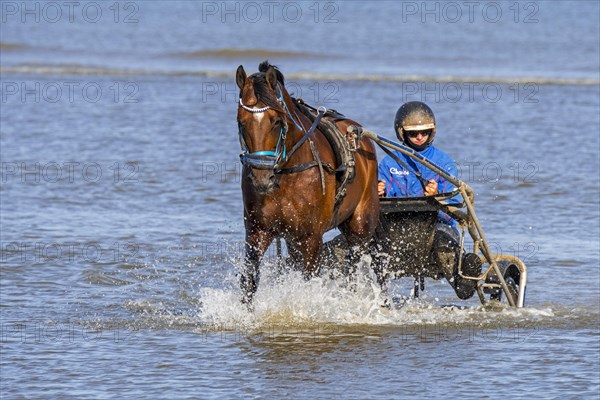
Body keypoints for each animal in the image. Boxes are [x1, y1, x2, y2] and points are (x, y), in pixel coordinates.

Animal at [236, 60, 380, 304]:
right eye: (241, 122)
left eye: (276, 122)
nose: (261, 178)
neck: (286, 174)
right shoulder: (258, 231)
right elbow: (249, 282)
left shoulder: (311, 238)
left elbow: (309, 282)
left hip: (361, 224)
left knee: (354, 265)